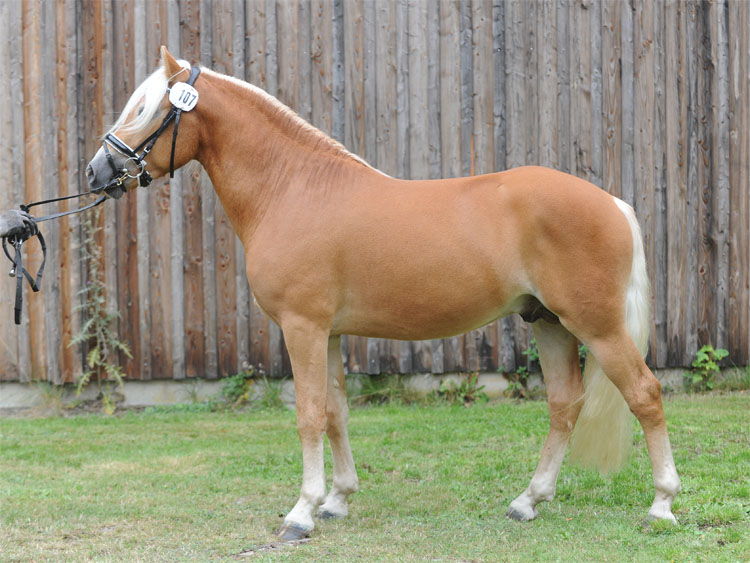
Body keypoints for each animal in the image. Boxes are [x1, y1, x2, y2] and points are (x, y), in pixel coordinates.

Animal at [85, 46, 681, 540]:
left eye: (145, 110)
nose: (96, 172)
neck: (292, 188)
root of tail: (612, 203)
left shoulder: (302, 328)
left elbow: (307, 413)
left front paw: (301, 513)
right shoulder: (326, 333)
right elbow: (335, 412)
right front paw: (337, 500)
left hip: (596, 326)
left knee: (645, 394)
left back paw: (661, 505)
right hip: (549, 323)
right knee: (563, 404)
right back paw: (527, 502)